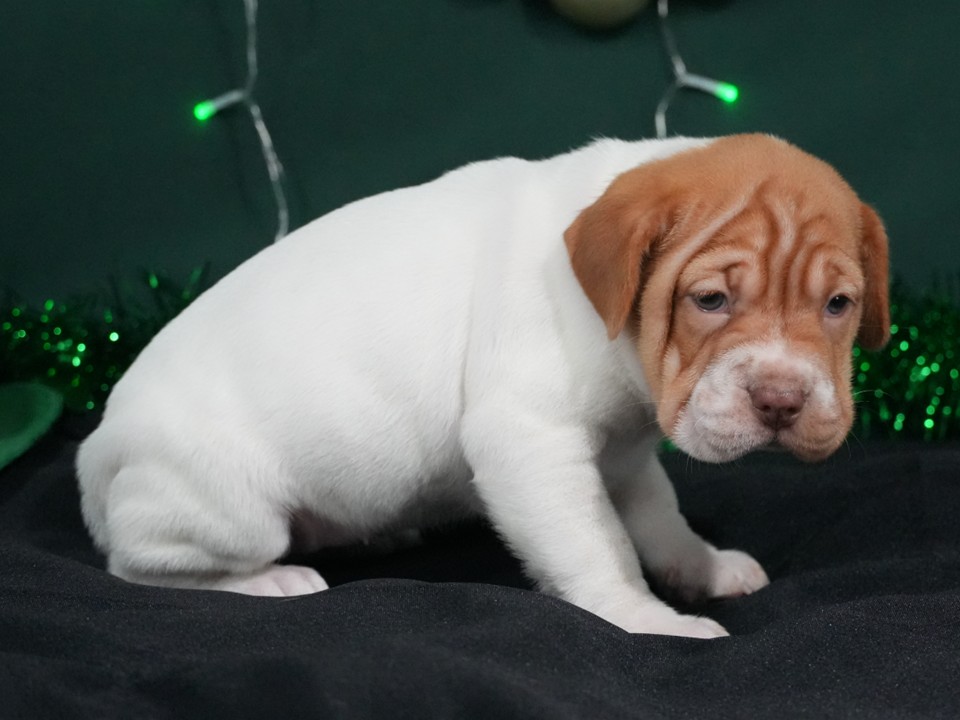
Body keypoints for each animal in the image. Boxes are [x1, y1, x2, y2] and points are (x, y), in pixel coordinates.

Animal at [76, 134, 889, 638]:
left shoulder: (624, 453)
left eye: (838, 305)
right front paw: (645, 619)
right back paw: (265, 583)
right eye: (711, 300)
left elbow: (658, 517)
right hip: (228, 513)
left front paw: (700, 566)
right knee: (136, 565)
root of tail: (97, 449)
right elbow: (598, 546)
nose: (781, 400)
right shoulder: (529, 443)